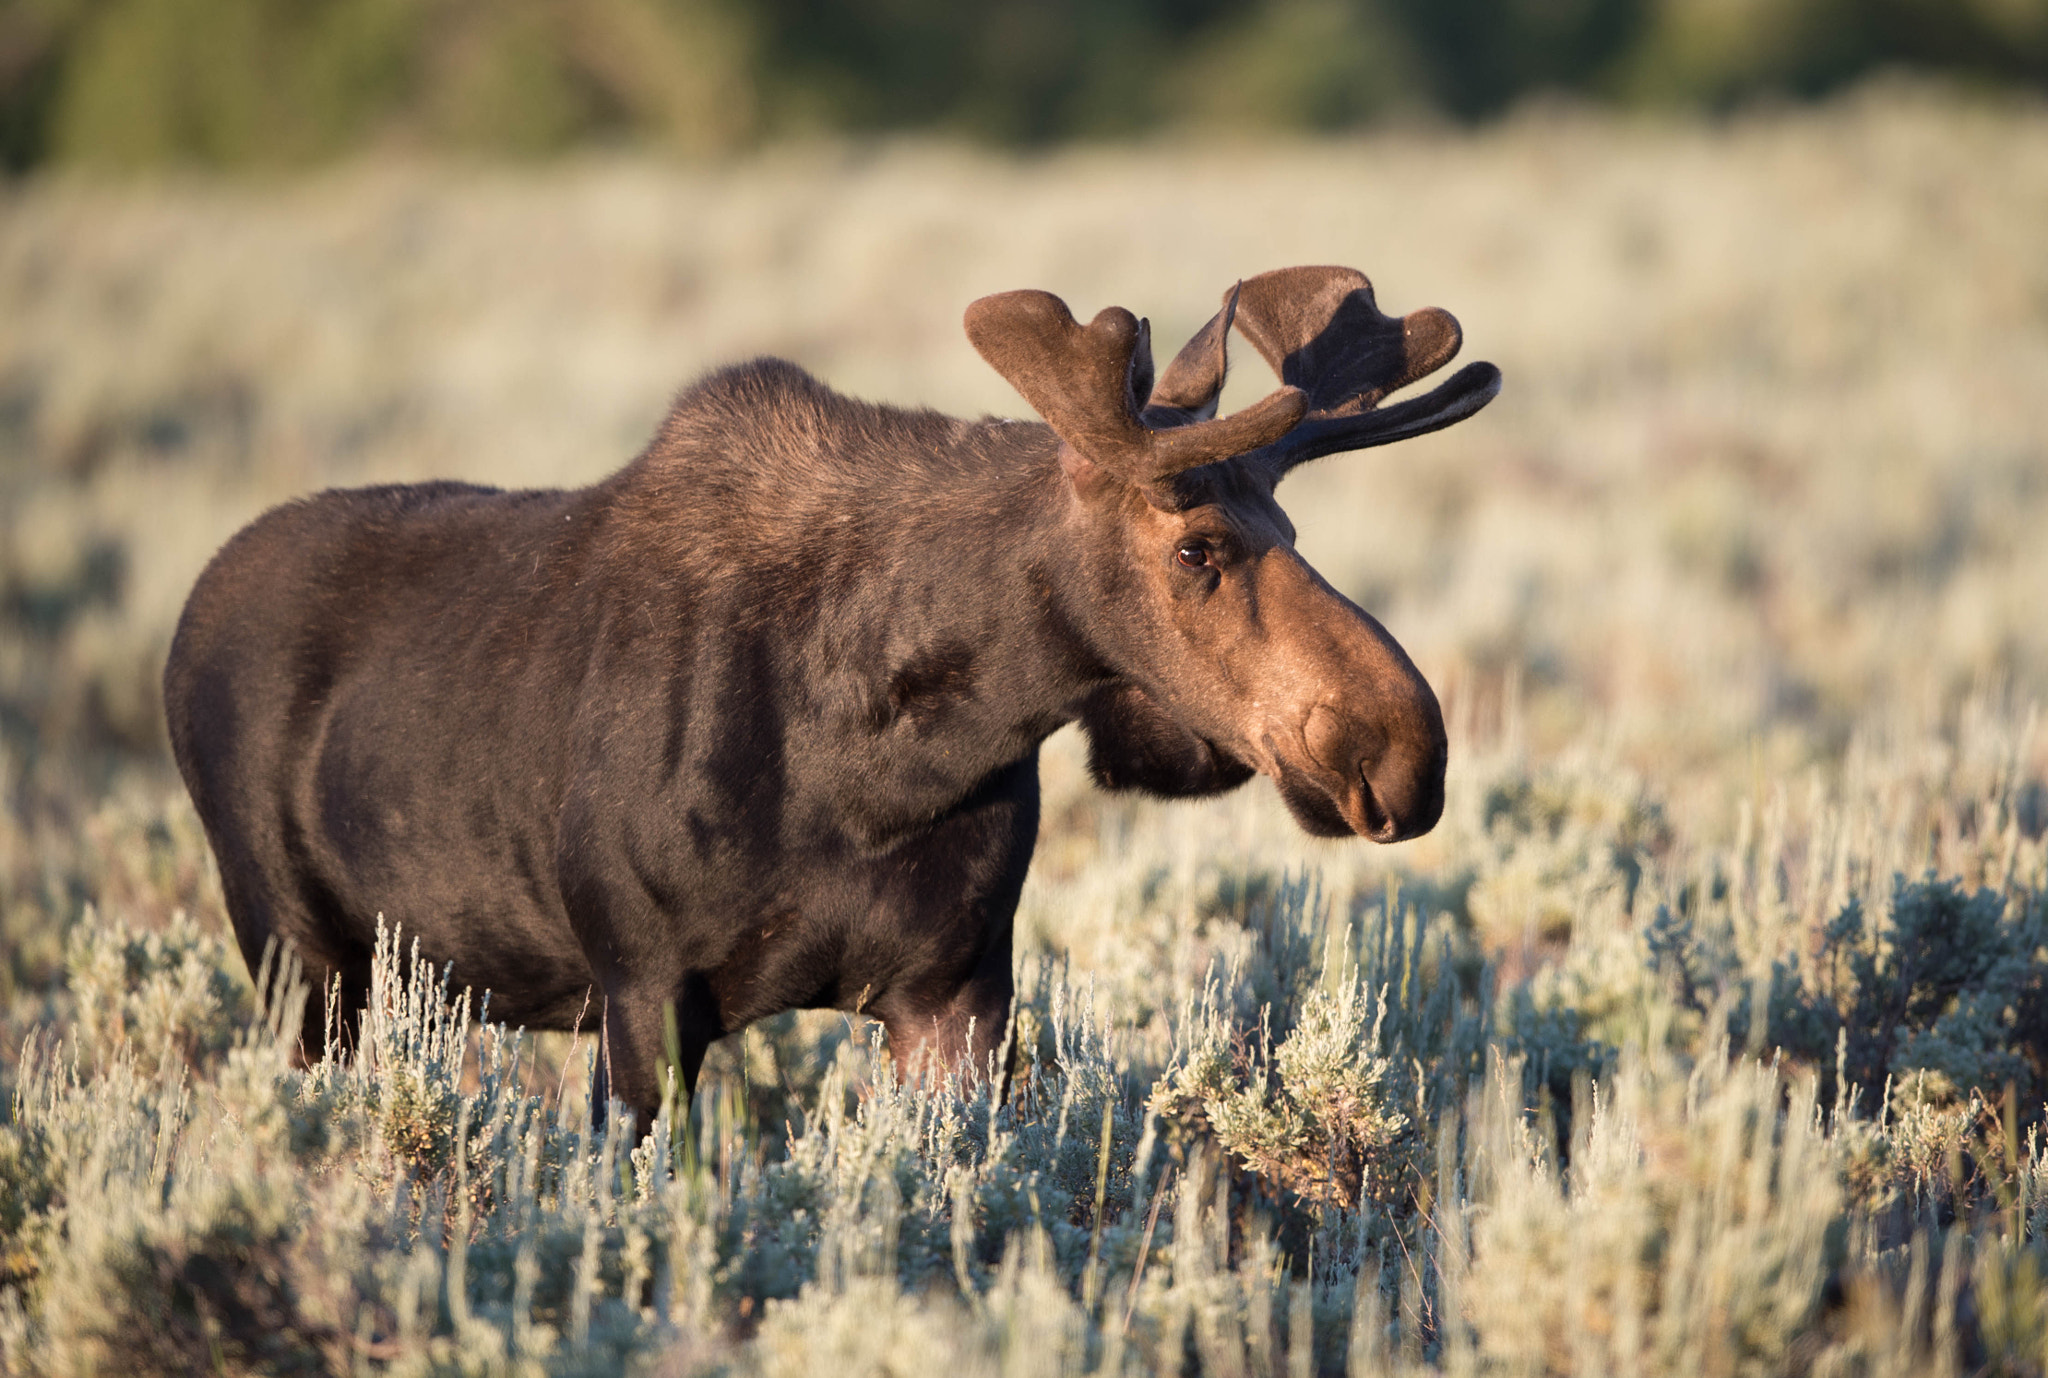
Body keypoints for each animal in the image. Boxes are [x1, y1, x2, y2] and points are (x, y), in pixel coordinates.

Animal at [163, 264, 1507, 1122]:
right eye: (1197, 549)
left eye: (1289, 522)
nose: (1401, 747)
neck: (878, 768)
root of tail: (183, 627)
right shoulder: (640, 990)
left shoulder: (954, 991)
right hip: (297, 962)